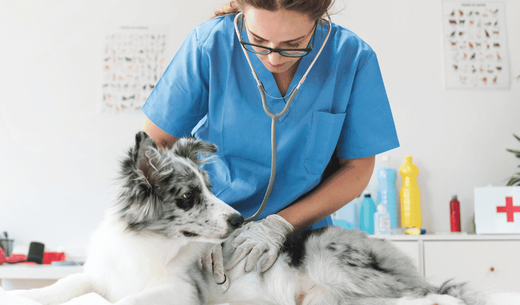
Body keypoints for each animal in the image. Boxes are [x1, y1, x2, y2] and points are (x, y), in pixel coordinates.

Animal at [8, 132, 520, 304]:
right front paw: (25, 295)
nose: (240, 221)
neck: (152, 246)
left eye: (212, 187)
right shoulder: (103, 272)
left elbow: (120, 301)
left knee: (431, 294)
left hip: (337, 263)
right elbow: (69, 285)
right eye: (190, 196)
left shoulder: (179, 292)